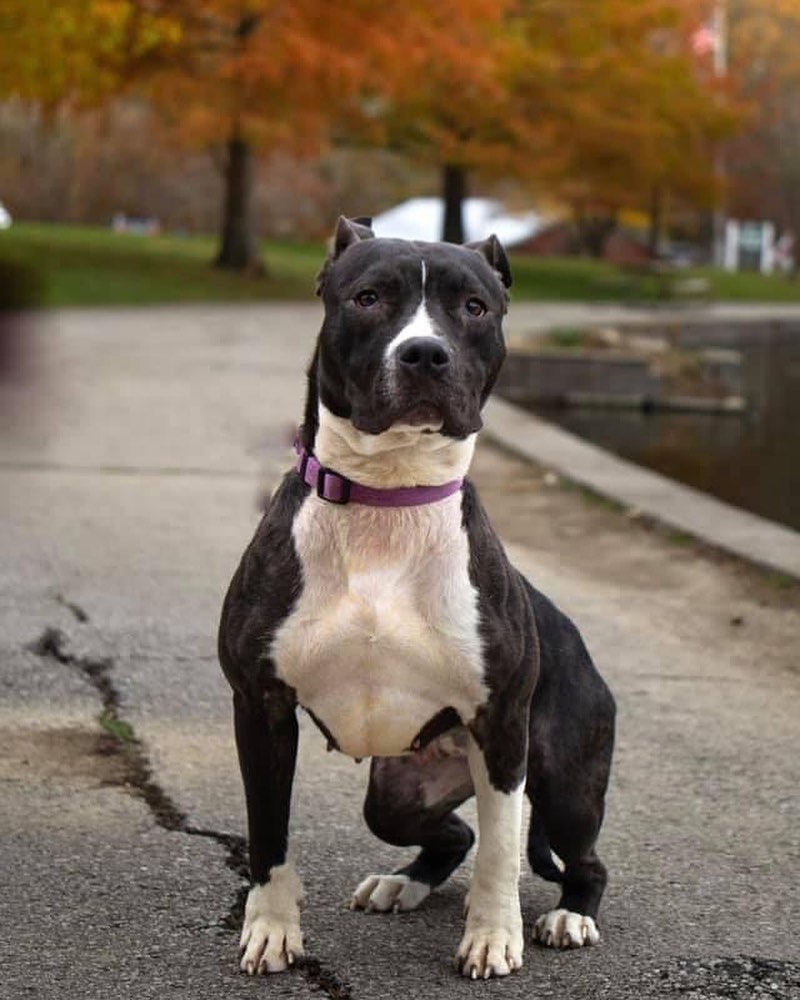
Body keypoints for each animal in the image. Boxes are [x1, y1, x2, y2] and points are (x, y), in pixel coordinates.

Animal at [216, 217, 616, 976]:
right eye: (369, 297)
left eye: (474, 307)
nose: (425, 353)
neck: (387, 500)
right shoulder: (261, 708)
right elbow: (268, 837)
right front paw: (272, 930)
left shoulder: (502, 728)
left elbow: (501, 852)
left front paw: (492, 936)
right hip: (398, 794)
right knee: (451, 835)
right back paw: (401, 883)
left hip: (563, 787)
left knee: (579, 859)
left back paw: (570, 915)